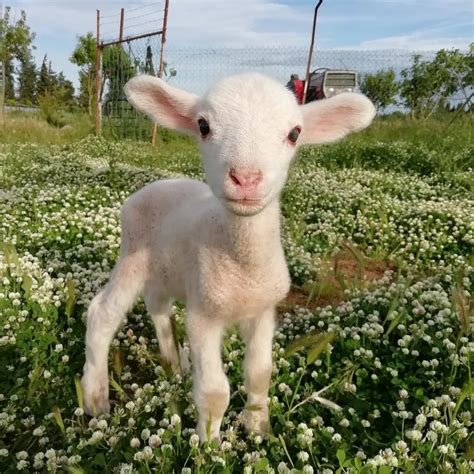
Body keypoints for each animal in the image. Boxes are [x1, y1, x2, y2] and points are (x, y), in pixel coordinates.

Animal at [82, 72, 378, 442]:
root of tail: (153, 186)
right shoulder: (203, 316)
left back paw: (175, 365)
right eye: (203, 125)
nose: (246, 178)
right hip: (132, 255)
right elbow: (214, 392)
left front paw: (258, 426)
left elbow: (260, 372)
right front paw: (208, 445)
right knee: (102, 313)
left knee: (158, 306)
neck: (242, 263)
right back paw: (95, 397)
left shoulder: (264, 310)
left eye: (295, 133)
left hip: (164, 269)